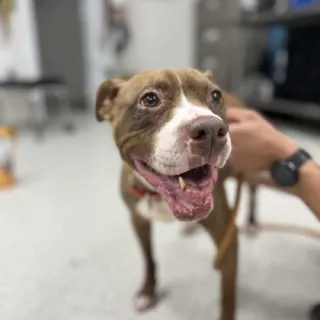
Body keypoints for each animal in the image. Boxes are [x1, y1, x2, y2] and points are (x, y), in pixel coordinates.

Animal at [95, 69, 252, 320]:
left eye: (215, 95)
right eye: (150, 99)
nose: (210, 130)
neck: (158, 196)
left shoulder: (227, 238)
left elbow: (228, 295)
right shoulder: (138, 220)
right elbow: (148, 258)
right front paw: (148, 292)